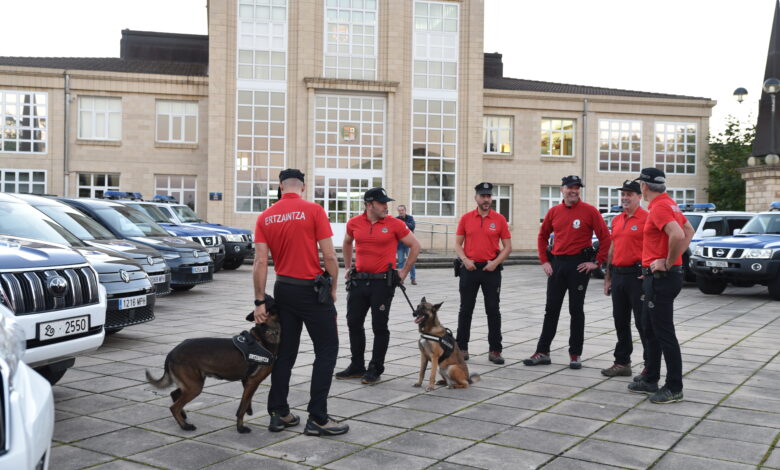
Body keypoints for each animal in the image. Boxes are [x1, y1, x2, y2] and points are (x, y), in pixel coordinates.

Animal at [146, 294, 280, 434]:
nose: (264, 295)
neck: (265, 333)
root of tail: (171, 353)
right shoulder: (253, 382)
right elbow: (241, 408)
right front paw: (240, 428)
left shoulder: (247, 382)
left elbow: (246, 403)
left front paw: (247, 414)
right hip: (194, 386)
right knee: (174, 407)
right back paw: (185, 426)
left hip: (192, 383)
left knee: (174, 394)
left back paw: (183, 416)